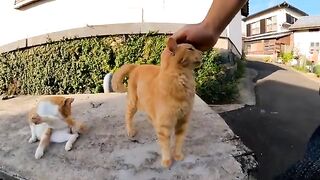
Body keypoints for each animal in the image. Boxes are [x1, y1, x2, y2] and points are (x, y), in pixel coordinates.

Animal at [111, 37, 201, 168]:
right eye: (190, 49)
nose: (202, 53)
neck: (182, 80)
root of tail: (137, 66)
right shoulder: (164, 125)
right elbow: (165, 145)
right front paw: (167, 161)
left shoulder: (183, 120)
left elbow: (179, 141)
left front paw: (178, 155)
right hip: (133, 103)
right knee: (128, 117)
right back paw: (130, 130)